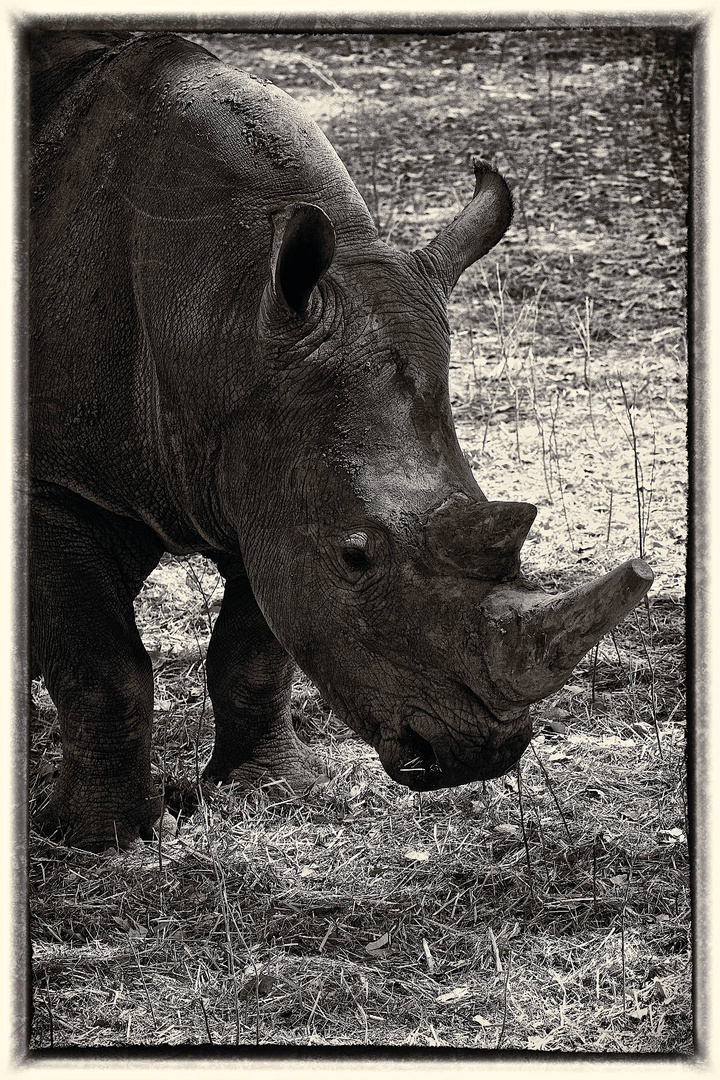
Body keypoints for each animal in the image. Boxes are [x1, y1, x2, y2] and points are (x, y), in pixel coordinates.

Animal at [28, 29, 651, 846]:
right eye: (357, 557)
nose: (479, 754)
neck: (222, 314)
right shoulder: (56, 478)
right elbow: (102, 665)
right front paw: (100, 840)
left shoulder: (265, 457)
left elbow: (258, 650)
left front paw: (270, 794)